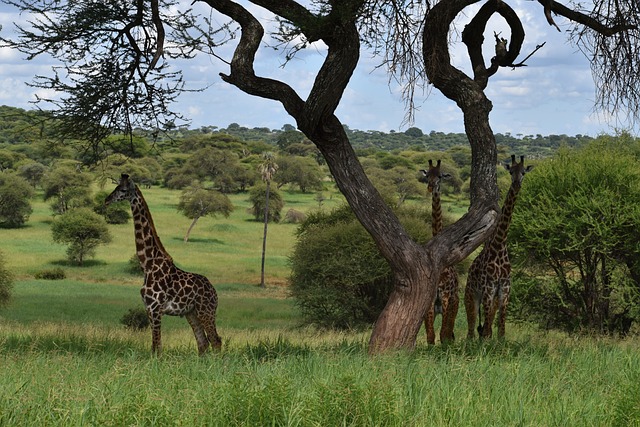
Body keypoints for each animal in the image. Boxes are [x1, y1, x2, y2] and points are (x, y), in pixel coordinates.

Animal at [105, 172, 222, 356]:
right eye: (115, 187)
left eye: (123, 190)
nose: (106, 200)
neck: (147, 264)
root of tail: (215, 292)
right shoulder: (148, 308)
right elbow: (154, 346)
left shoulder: (156, 308)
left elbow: (157, 347)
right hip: (191, 313)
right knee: (203, 343)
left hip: (206, 310)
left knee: (216, 341)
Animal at [462, 155, 532, 340]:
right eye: (511, 171)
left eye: (523, 172)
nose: (516, 184)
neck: (499, 244)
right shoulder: (489, 289)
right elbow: (486, 329)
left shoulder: (505, 290)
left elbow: (501, 329)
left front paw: (500, 344)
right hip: (471, 294)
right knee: (471, 326)